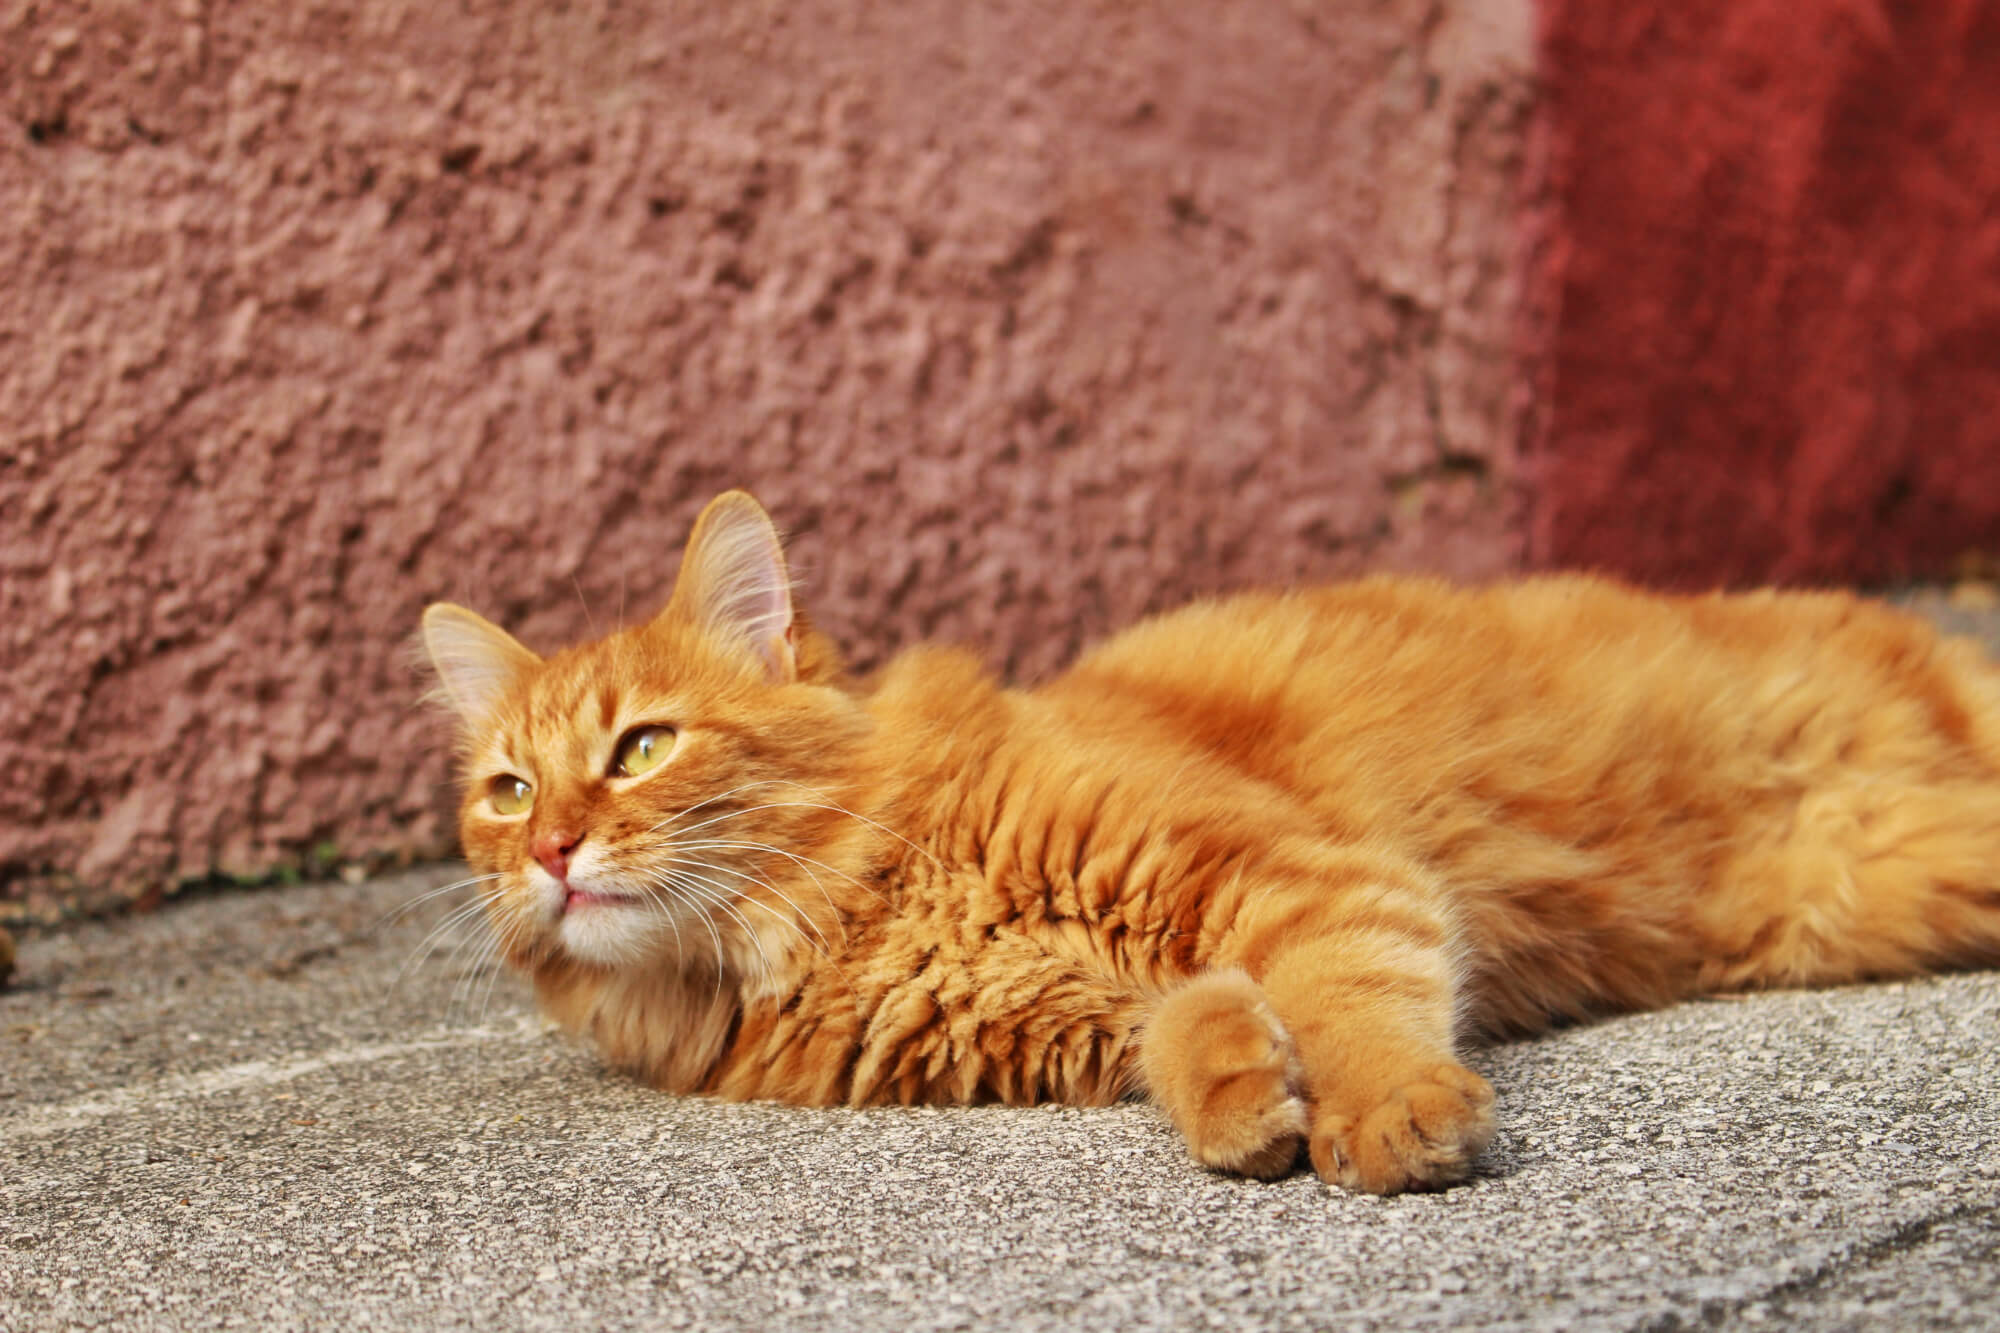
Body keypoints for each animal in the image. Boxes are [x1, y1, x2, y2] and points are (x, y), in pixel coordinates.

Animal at [422, 490, 2000, 1192]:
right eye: (505, 789)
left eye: (640, 749)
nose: (552, 848)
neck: (862, 906)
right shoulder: (1097, 1011)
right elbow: (1192, 1026)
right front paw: (1249, 1098)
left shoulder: (1306, 881)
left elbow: (1354, 1003)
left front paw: (1385, 1112)